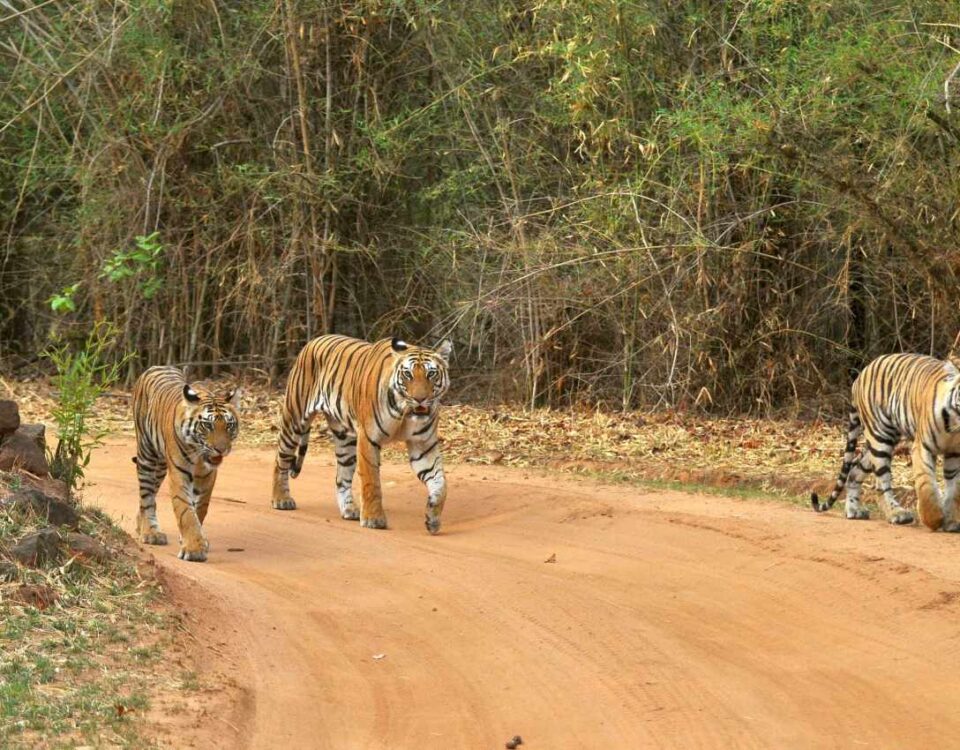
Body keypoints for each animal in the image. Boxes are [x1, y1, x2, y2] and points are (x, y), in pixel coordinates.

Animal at [132, 366, 240, 562]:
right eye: (208, 425)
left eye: (229, 425)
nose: (221, 449)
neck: (199, 455)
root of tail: (155, 367)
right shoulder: (179, 474)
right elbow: (185, 511)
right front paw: (194, 549)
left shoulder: (207, 477)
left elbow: (200, 509)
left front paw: (196, 541)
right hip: (147, 455)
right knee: (146, 496)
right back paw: (150, 532)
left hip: (160, 467)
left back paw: (140, 525)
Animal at [272, 334, 452, 534]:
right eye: (408, 374)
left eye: (431, 374)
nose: (420, 399)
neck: (405, 413)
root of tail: (312, 341)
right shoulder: (368, 438)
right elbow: (371, 481)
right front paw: (374, 519)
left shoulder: (423, 446)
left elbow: (440, 483)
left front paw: (433, 517)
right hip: (294, 419)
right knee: (281, 460)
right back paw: (281, 499)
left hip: (344, 439)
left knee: (341, 477)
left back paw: (349, 510)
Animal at [811, 352, 960, 531]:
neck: (955, 428)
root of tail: (861, 374)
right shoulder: (923, 447)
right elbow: (926, 485)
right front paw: (934, 519)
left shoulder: (955, 453)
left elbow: (954, 489)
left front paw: (951, 520)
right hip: (880, 437)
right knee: (882, 483)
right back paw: (897, 514)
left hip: (877, 443)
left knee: (854, 469)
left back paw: (854, 510)